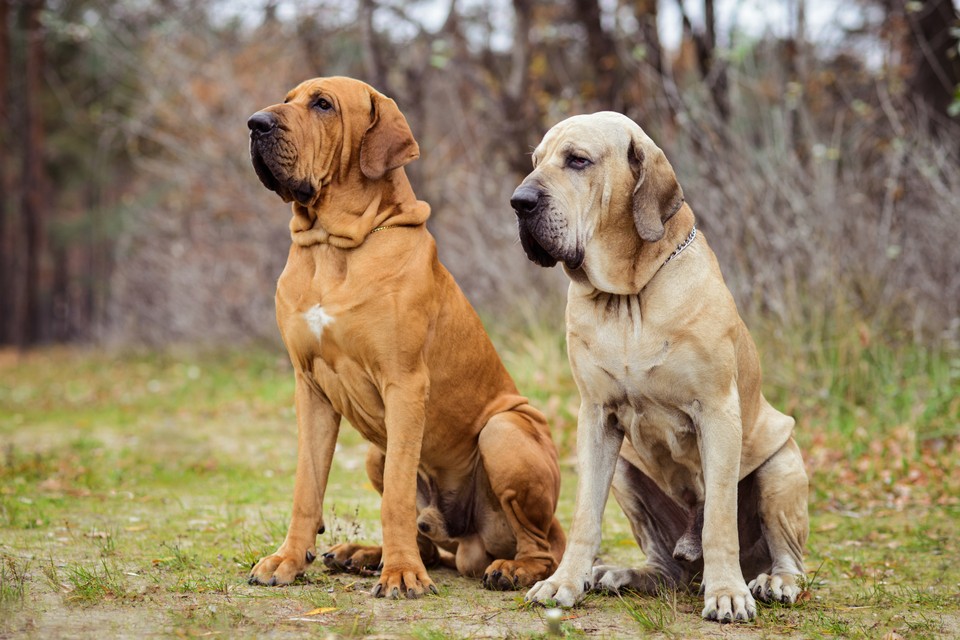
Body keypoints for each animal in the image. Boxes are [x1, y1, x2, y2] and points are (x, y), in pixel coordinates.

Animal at [244, 77, 568, 596]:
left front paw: (400, 574)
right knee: (433, 546)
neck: (333, 249)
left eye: (323, 105)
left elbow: (395, 495)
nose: (256, 123)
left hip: (504, 431)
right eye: (289, 99)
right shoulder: (310, 388)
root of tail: (468, 543)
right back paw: (362, 555)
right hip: (375, 453)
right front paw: (289, 559)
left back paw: (511, 569)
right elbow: (306, 487)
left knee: (543, 546)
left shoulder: (405, 384)